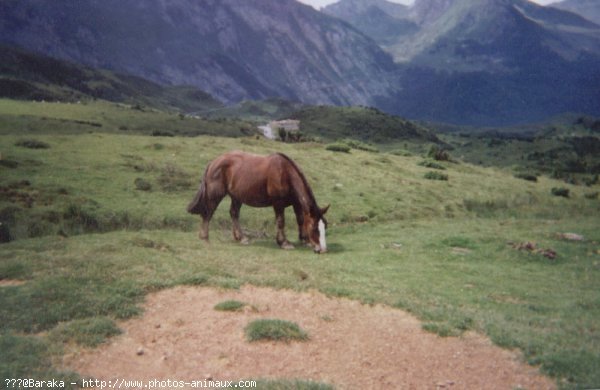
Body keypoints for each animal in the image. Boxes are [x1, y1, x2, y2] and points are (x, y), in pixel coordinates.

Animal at [186, 151, 328, 254]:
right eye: (314, 228)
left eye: (324, 226)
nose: (322, 249)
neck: (285, 173)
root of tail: (213, 162)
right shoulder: (278, 204)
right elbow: (281, 221)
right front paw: (284, 242)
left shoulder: (296, 203)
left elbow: (300, 219)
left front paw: (304, 240)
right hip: (215, 195)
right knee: (208, 212)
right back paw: (205, 237)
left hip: (237, 197)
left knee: (234, 213)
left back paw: (241, 238)